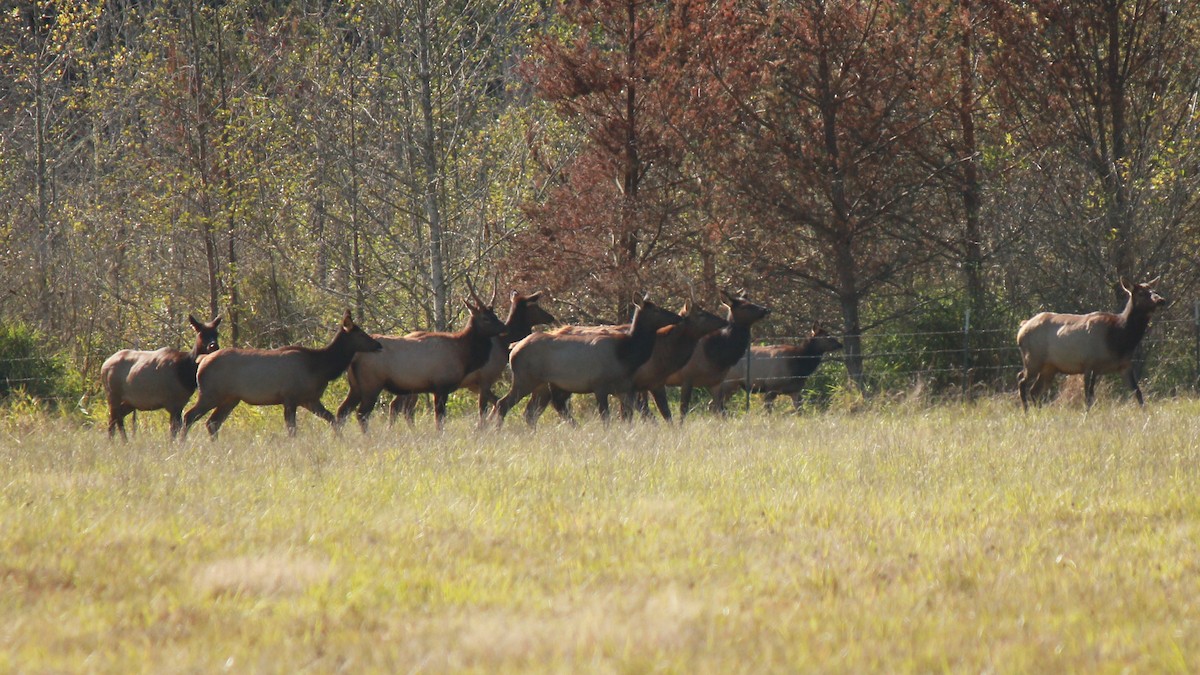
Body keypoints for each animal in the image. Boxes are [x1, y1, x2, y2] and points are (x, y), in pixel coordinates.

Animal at [182, 311, 382, 438]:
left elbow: (332, 419)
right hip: (210, 393)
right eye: (361, 334)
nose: (378, 345)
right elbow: (292, 430)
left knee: (212, 423)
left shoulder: (309, 399)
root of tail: (201, 362)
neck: (320, 367)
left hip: (230, 398)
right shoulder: (290, 397)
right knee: (189, 416)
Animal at [712, 323, 843, 412]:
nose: (840, 344)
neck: (800, 367)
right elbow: (767, 411)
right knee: (716, 405)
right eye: (826, 336)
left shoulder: (795, 390)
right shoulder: (771, 386)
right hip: (729, 383)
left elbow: (800, 411)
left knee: (715, 405)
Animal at [1017, 277, 1168, 411]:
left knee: (1034, 390)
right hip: (1033, 359)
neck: (1119, 340)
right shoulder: (1089, 364)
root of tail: (1021, 329)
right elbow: (1088, 398)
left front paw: (1146, 415)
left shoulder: (1125, 365)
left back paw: (1037, 411)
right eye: (1141, 293)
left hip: (1050, 367)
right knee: (1021, 380)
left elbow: (1138, 393)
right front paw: (1086, 416)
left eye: (1154, 290)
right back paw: (1026, 411)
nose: (1161, 300)